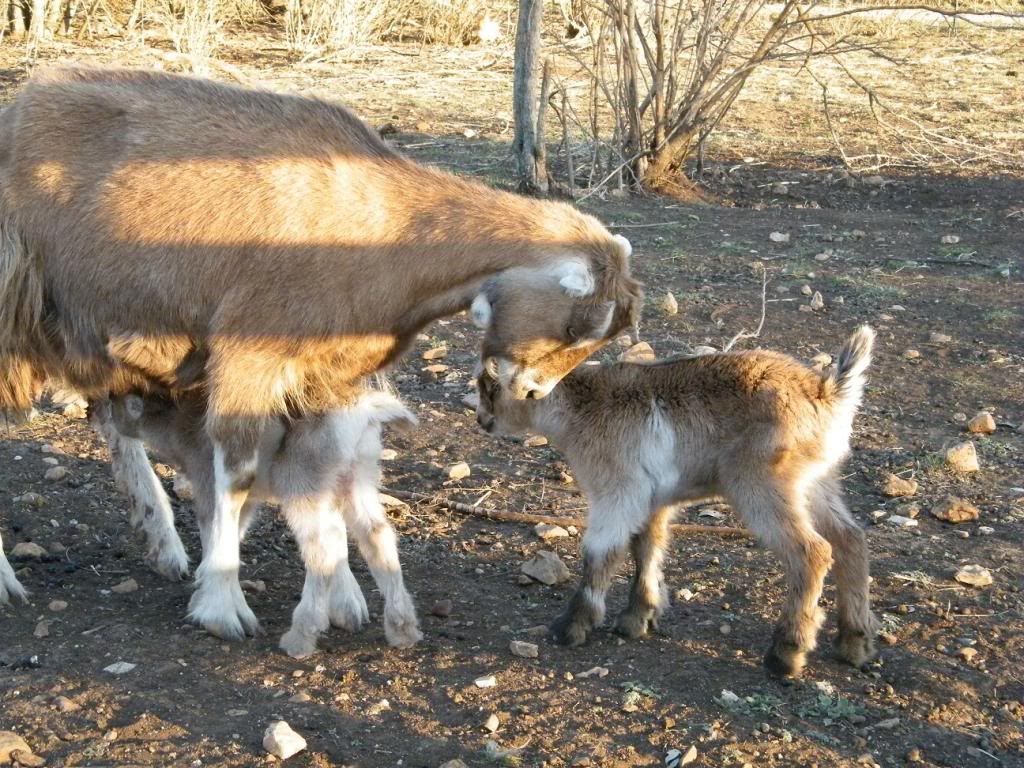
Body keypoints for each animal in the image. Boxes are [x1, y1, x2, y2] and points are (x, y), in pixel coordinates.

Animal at [103, 385, 421, 656]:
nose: (107, 409)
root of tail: (366, 412)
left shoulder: (209, 480)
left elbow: (216, 532)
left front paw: (215, 607)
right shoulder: (246, 497)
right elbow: (232, 533)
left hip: (303, 485)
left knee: (323, 550)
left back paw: (299, 638)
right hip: (357, 477)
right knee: (376, 536)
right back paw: (402, 629)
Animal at [475, 327, 880, 677]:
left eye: (491, 385)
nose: (481, 420)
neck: (582, 406)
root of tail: (827, 390)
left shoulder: (616, 492)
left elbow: (600, 554)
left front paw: (572, 626)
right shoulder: (653, 500)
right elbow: (646, 548)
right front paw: (637, 618)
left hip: (764, 486)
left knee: (812, 553)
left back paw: (786, 655)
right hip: (818, 484)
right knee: (851, 540)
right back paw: (854, 643)